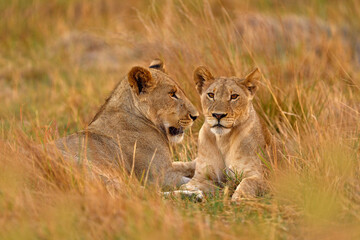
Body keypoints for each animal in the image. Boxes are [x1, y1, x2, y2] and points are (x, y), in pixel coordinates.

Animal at [54, 59, 198, 188]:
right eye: (172, 94)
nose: (196, 116)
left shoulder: (170, 165)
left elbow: (185, 163)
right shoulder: (158, 176)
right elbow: (186, 180)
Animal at [180, 65, 276, 201]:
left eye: (234, 96)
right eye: (211, 95)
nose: (218, 115)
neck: (223, 139)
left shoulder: (264, 177)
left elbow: (247, 183)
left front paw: (238, 198)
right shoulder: (200, 177)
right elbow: (188, 186)